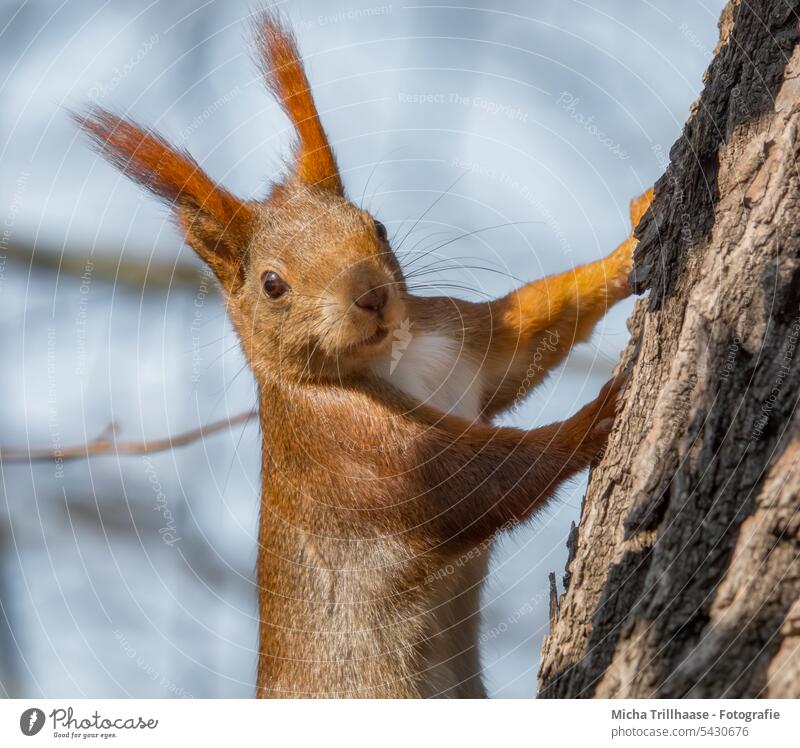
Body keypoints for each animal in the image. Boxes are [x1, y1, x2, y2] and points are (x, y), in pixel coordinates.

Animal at [72, 8, 652, 700]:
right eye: (272, 283)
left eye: (375, 225)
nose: (372, 295)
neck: (396, 359)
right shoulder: (356, 457)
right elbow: (482, 480)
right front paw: (598, 414)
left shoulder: (460, 344)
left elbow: (531, 329)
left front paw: (632, 240)